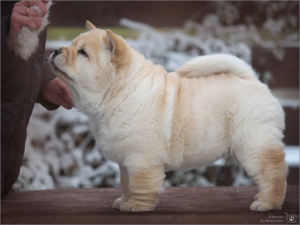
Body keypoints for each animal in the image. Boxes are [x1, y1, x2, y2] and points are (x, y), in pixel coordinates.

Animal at [49, 20, 288, 211]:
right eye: (72, 45)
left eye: (83, 53)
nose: (55, 50)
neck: (119, 91)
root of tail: (253, 81)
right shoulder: (125, 159)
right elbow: (126, 182)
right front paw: (123, 201)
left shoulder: (142, 158)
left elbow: (140, 185)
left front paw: (136, 206)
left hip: (253, 144)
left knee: (273, 173)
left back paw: (266, 203)